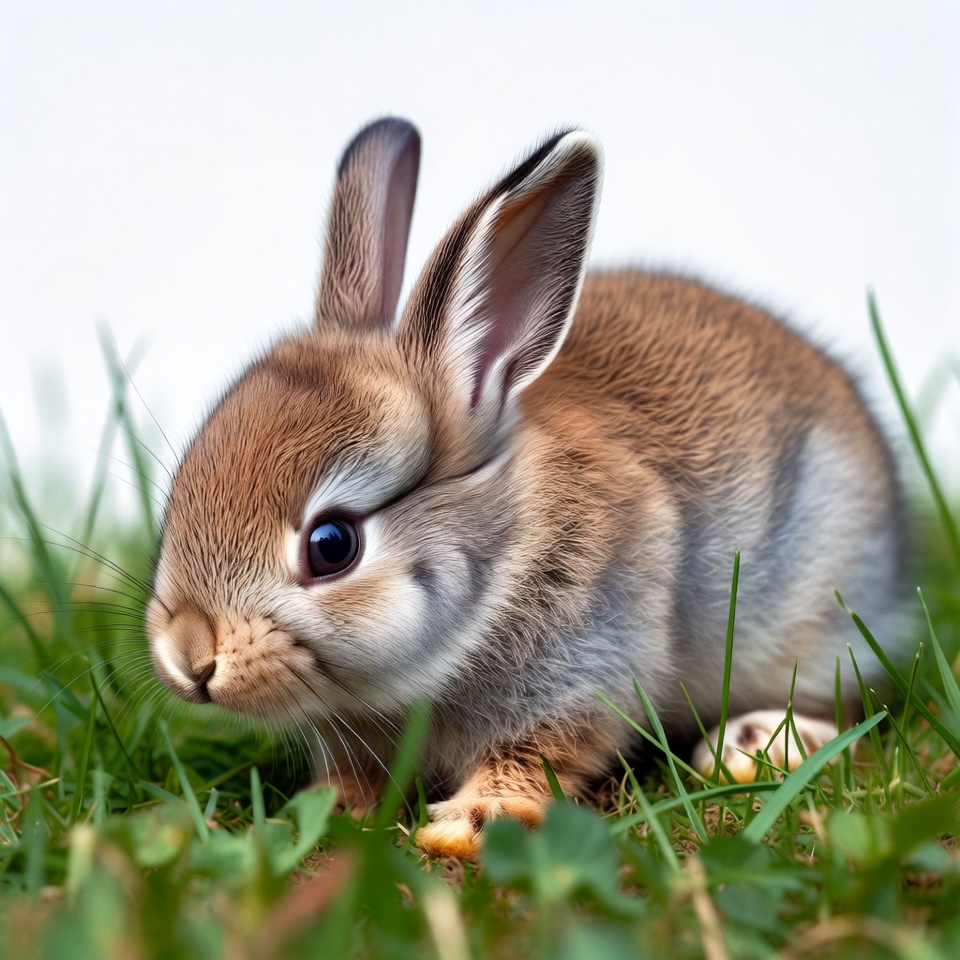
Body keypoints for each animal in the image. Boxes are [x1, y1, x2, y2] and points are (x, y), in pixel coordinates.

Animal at [146, 117, 908, 859]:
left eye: (332, 545)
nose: (189, 659)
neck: (502, 549)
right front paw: (320, 810)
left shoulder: (583, 674)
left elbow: (538, 756)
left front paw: (466, 825)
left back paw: (757, 743)